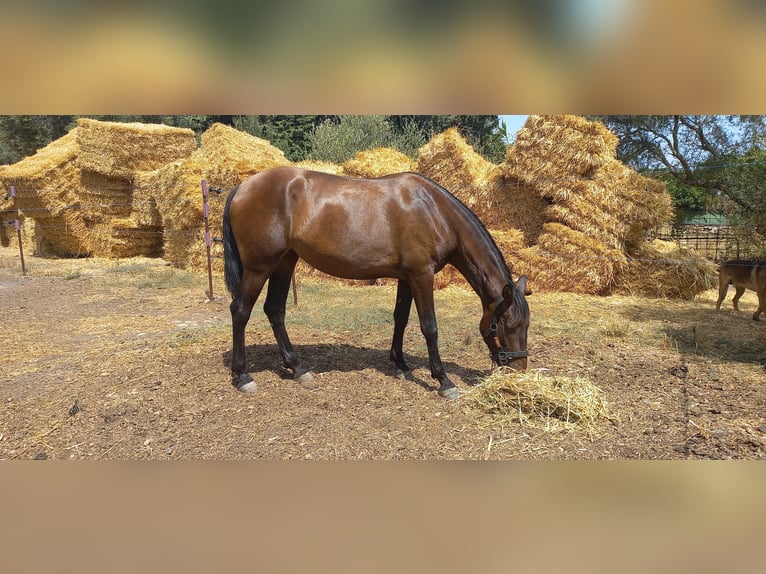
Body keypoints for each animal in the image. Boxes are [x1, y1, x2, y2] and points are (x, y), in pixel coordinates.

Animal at [225, 166, 532, 400]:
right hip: (259, 267)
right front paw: (443, 380)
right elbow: (429, 327)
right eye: (508, 325)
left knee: (275, 310)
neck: (434, 210)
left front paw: (400, 365)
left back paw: (297, 369)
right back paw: (243, 376)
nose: (520, 370)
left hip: (285, 262)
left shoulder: (407, 278)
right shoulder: (422, 275)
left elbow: (401, 319)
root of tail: (242, 187)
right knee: (240, 311)